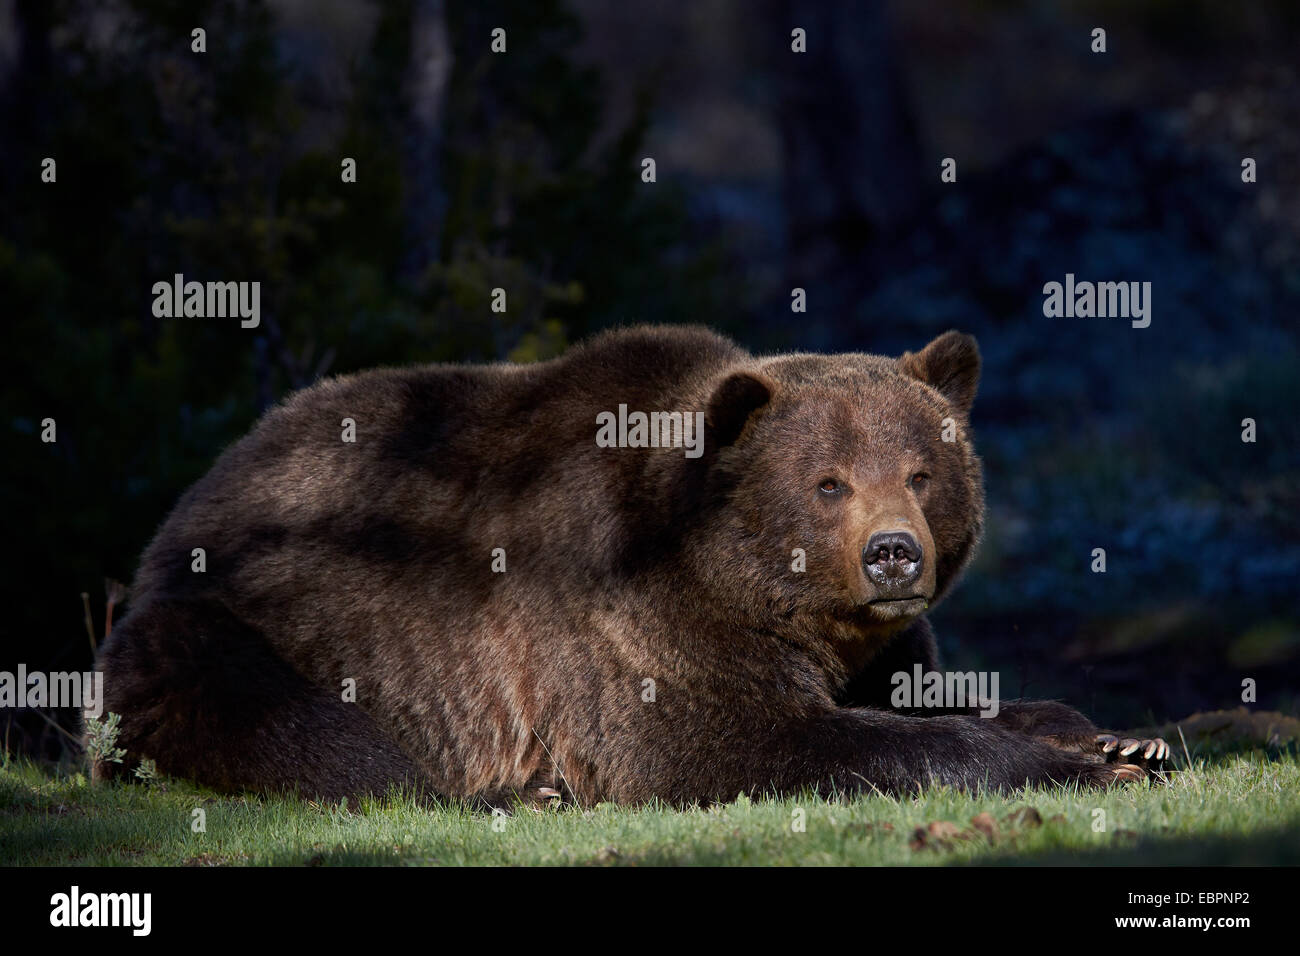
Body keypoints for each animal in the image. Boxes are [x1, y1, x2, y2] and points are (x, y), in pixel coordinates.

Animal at [91, 325, 1170, 806]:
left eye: (921, 470)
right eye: (827, 481)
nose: (893, 552)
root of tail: (190, 498)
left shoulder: (877, 644)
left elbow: (933, 694)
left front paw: (1121, 735)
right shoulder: (627, 622)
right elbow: (737, 743)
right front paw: (1073, 762)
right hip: (232, 619)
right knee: (313, 733)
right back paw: (511, 791)